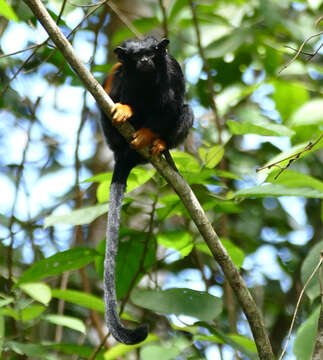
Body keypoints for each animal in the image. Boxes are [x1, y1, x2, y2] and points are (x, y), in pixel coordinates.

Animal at [100, 36, 194, 346]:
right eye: (135, 55)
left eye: (152, 53)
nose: (144, 61)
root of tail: (125, 156)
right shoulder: (120, 72)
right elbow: (114, 90)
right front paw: (125, 109)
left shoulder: (171, 70)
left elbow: (172, 105)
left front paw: (150, 135)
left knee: (184, 109)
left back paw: (158, 143)